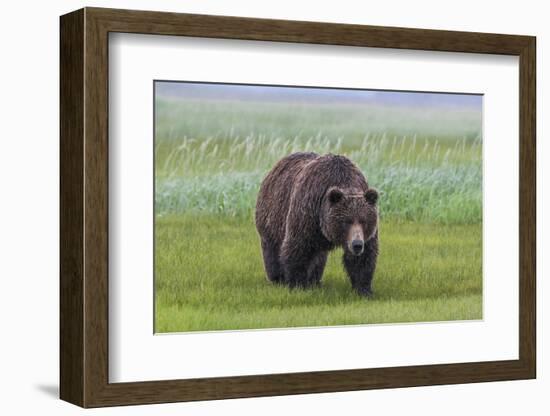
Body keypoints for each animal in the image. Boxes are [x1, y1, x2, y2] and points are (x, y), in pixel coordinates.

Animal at [256, 153, 380, 296]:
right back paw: (277, 278)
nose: (357, 244)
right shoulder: (308, 212)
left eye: (364, 220)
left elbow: (364, 258)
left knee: (319, 257)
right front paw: (297, 284)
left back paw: (314, 280)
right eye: (346, 221)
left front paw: (364, 290)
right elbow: (298, 248)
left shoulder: (366, 233)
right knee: (272, 248)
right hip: (273, 216)